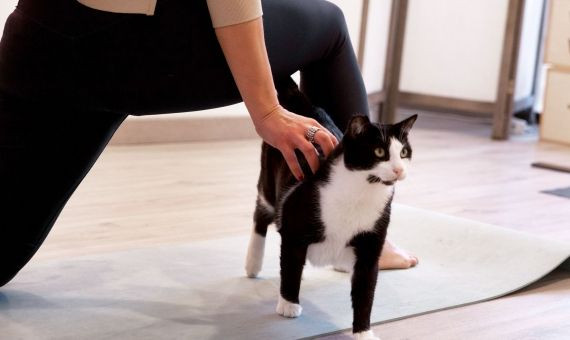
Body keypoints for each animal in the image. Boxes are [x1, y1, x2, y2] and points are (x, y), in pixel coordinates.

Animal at [245, 78, 418, 338]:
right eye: (379, 152)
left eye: (404, 152)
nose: (398, 170)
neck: (360, 193)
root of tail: (303, 106)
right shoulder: (294, 224)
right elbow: (291, 266)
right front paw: (288, 304)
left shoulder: (372, 239)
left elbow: (366, 289)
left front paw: (363, 332)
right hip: (269, 183)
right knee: (261, 212)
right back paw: (253, 263)